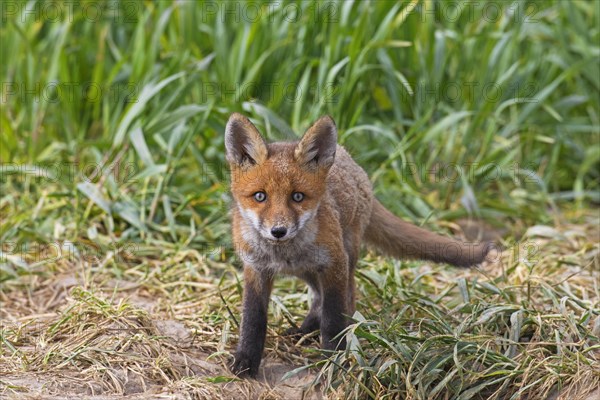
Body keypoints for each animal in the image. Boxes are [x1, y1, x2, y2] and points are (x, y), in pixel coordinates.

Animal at [225, 113, 488, 378]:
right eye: (260, 196)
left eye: (297, 197)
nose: (278, 231)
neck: (284, 253)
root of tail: (351, 161)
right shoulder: (256, 268)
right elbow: (253, 319)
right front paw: (245, 360)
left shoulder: (334, 263)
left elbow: (333, 318)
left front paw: (333, 360)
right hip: (309, 270)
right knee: (318, 298)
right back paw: (305, 331)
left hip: (345, 257)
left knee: (346, 299)